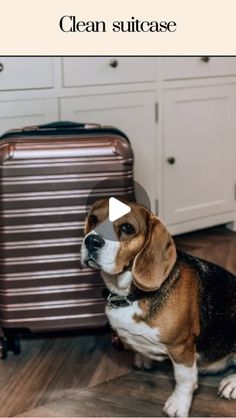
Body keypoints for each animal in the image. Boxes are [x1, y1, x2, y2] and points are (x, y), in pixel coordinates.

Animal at [80, 199, 235, 418]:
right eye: (93, 219)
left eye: (127, 228)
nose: (91, 241)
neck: (132, 295)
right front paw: (144, 356)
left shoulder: (181, 347)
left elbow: (184, 380)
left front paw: (178, 404)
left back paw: (231, 383)